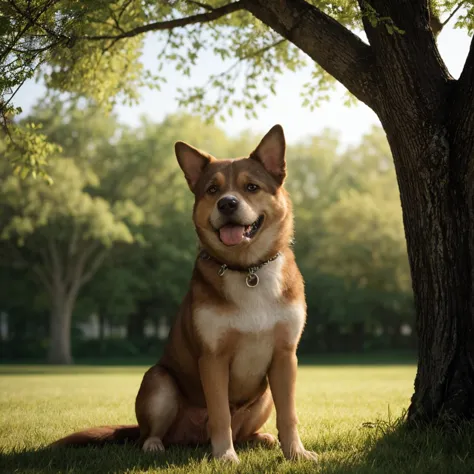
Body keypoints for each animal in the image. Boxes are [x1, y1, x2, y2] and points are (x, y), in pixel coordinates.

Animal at [51, 124, 318, 462]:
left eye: (252, 187)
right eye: (212, 190)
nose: (227, 204)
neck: (247, 269)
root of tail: (192, 440)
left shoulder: (285, 356)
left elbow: (289, 414)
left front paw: (295, 452)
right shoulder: (213, 358)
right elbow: (219, 414)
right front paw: (225, 456)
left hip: (264, 397)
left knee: (245, 430)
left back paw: (262, 439)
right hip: (159, 382)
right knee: (152, 432)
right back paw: (156, 445)